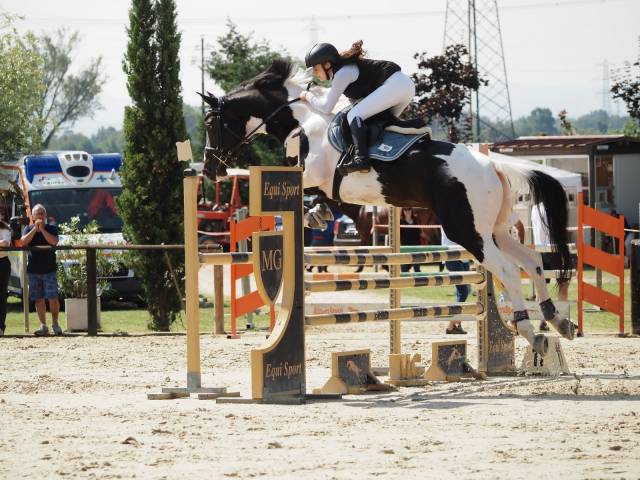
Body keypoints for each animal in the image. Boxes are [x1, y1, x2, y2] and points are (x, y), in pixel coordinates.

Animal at [199, 59, 575, 355]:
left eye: (210, 124)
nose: (210, 170)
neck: (303, 123)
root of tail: (493, 165)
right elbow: (321, 201)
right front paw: (318, 214)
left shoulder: (314, 176)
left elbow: (308, 196)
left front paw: (314, 214)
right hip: (494, 230)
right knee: (533, 261)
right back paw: (558, 320)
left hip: (468, 232)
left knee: (509, 271)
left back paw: (530, 332)